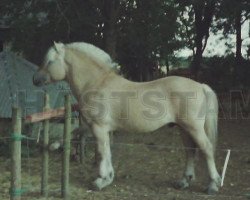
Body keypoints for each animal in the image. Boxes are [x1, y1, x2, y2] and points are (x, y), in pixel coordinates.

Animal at [32, 41, 221, 194]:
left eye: (50, 61)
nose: (35, 79)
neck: (96, 83)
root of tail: (200, 86)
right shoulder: (93, 126)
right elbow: (87, 140)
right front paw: (54, 145)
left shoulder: (99, 128)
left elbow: (102, 152)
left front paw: (101, 180)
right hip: (183, 128)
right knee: (190, 151)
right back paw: (184, 181)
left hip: (193, 128)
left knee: (206, 148)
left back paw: (213, 184)